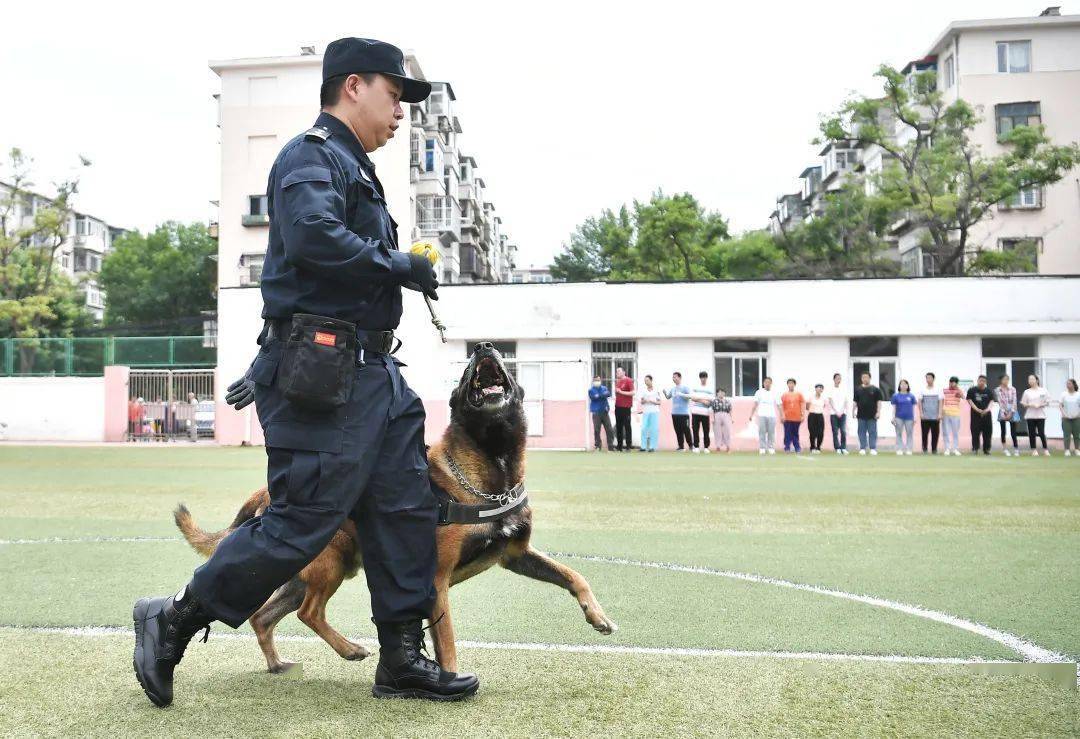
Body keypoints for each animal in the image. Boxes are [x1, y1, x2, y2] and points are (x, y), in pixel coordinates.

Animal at [176, 343, 617, 674]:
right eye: (462, 376)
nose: (482, 346)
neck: (491, 470)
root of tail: (267, 494)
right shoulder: (437, 581)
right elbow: (447, 642)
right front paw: (449, 679)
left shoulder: (516, 554)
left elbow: (575, 575)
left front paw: (597, 615)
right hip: (332, 563)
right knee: (308, 612)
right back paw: (349, 649)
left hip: (305, 571)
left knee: (263, 616)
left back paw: (277, 663)